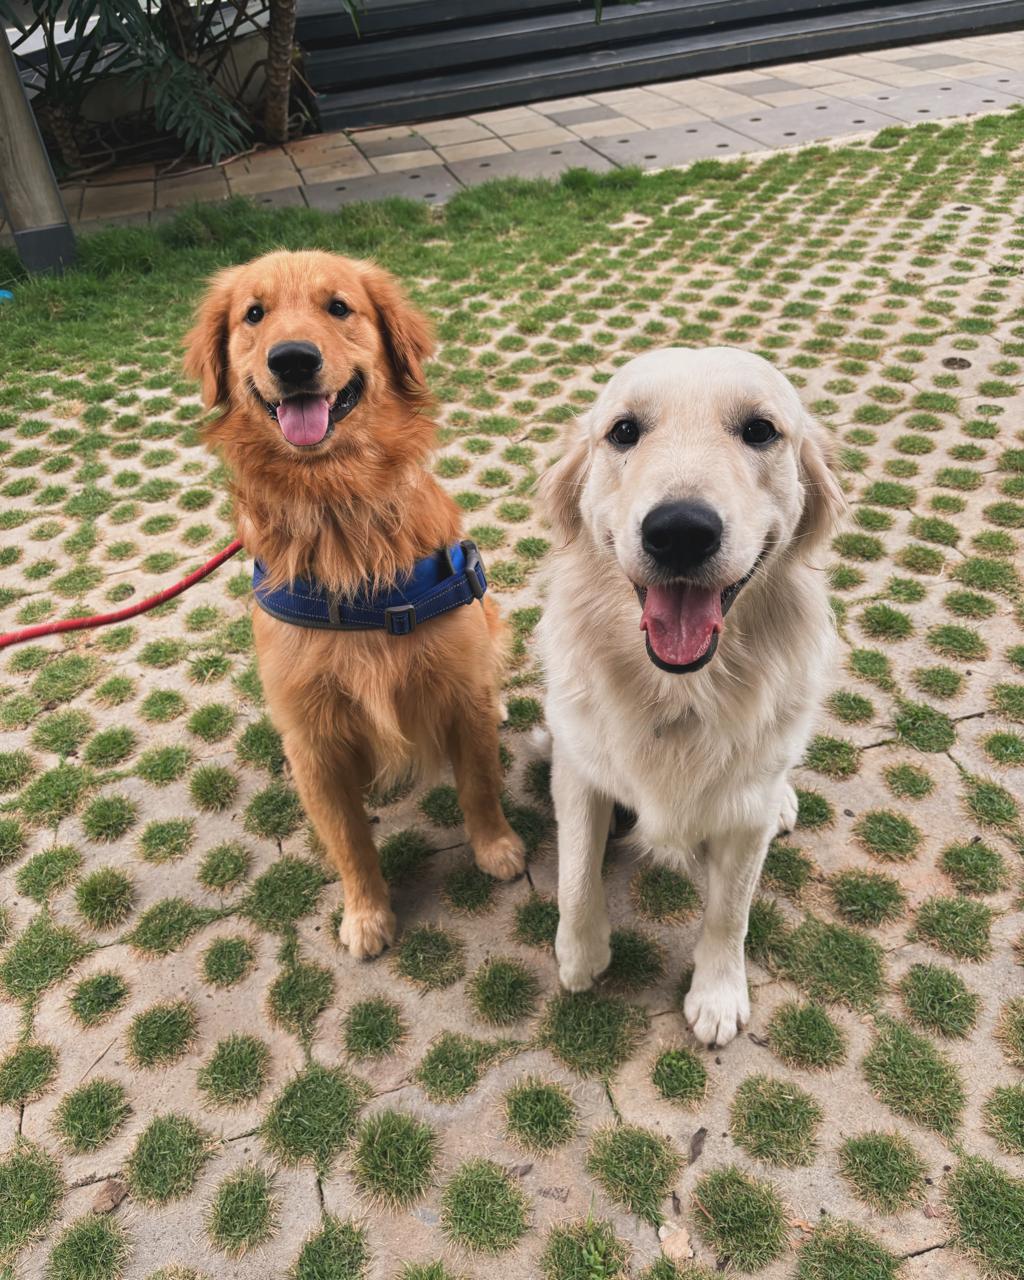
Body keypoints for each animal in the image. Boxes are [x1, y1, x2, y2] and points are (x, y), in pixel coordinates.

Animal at [185, 250, 525, 958]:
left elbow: (480, 783)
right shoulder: (312, 738)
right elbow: (347, 839)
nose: (292, 359)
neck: (337, 509)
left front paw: (498, 849)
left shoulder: (460, 689)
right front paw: (366, 914)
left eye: (339, 306)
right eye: (253, 314)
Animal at [537, 347, 844, 1047]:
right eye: (624, 431)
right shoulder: (578, 769)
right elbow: (575, 873)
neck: (679, 690)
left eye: (759, 430)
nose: (679, 532)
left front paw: (718, 993)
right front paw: (580, 955)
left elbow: (731, 911)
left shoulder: (744, 812)